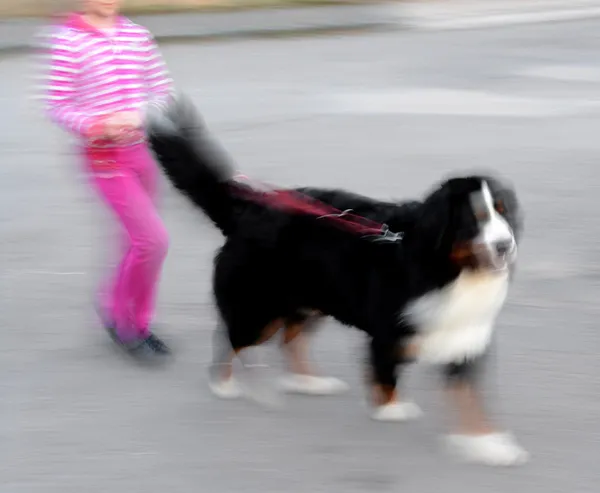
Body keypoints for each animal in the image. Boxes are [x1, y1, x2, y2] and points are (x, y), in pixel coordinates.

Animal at [148, 95, 528, 466]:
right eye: (473, 220)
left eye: (503, 212)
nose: (505, 245)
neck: (450, 271)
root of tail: (247, 210)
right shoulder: (388, 332)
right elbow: (385, 377)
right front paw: (392, 410)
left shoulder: (464, 337)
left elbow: (471, 401)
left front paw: (486, 445)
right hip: (260, 308)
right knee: (232, 339)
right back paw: (224, 384)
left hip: (309, 301)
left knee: (290, 341)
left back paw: (309, 382)